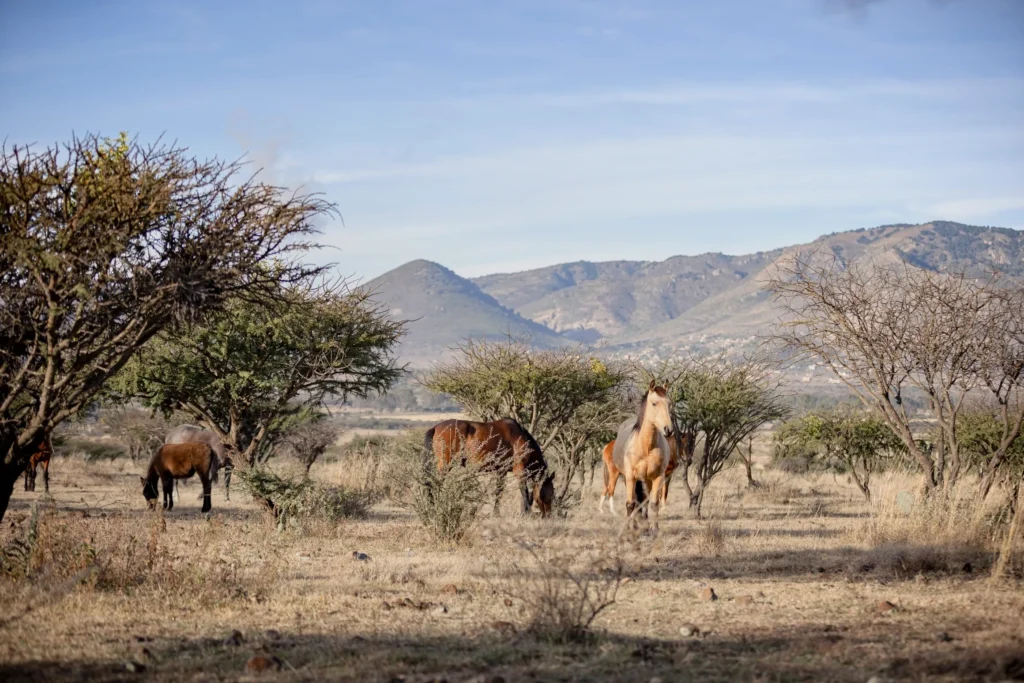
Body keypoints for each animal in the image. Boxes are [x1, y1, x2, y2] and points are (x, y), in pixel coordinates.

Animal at [424, 418, 554, 516]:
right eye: (549, 494)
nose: (548, 515)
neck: (520, 437)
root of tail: (436, 427)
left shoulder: (501, 471)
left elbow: (499, 491)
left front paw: (496, 513)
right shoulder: (520, 471)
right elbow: (524, 492)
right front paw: (525, 513)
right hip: (445, 464)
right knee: (434, 483)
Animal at [606, 381, 674, 529]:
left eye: (669, 403)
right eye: (654, 403)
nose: (668, 430)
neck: (646, 447)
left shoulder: (658, 477)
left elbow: (653, 504)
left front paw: (654, 529)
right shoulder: (630, 477)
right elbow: (630, 504)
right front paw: (629, 528)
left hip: (647, 480)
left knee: (644, 501)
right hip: (627, 478)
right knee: (635, 501)